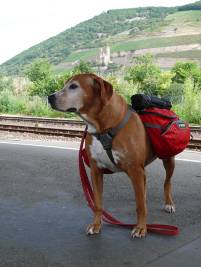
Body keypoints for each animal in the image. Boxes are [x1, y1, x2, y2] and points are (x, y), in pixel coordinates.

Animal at [48, 73, 175, 239]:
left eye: (74, 86)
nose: (49, 97)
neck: (102, 127)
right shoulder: (96, 171)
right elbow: (98, 203)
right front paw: (96, 225)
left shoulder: (135, 170)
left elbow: (140, 205)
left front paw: (141, 228)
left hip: (168, 159)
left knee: (167, 182)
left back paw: (169, 203)